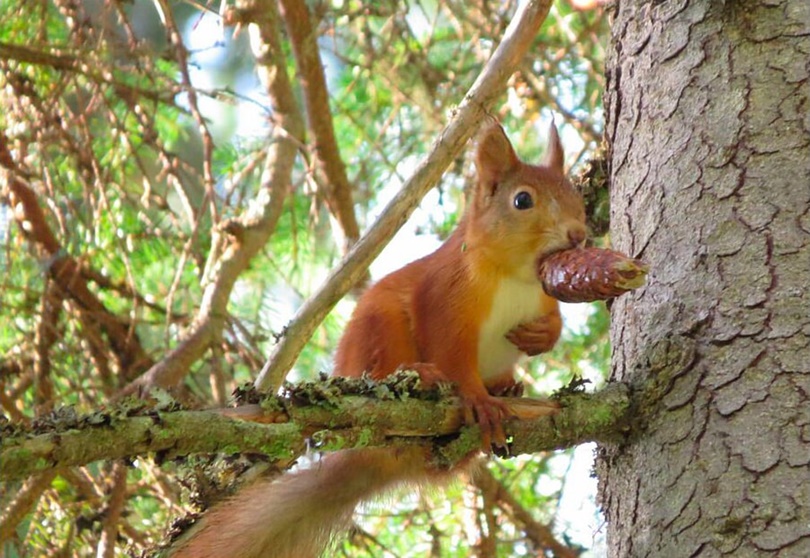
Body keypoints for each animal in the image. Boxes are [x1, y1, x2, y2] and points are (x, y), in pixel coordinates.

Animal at [174, 121, 584, 558]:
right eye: (522, 200)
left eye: (575, 193)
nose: (578, 235)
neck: (516, 277)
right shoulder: (444, 296)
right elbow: (451, 351)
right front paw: (477, 399)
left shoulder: (544, 293)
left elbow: (554, 319)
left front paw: (543, 335)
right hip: (379, 327)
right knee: (386, 372)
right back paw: (423, 377)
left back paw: (506, 386)